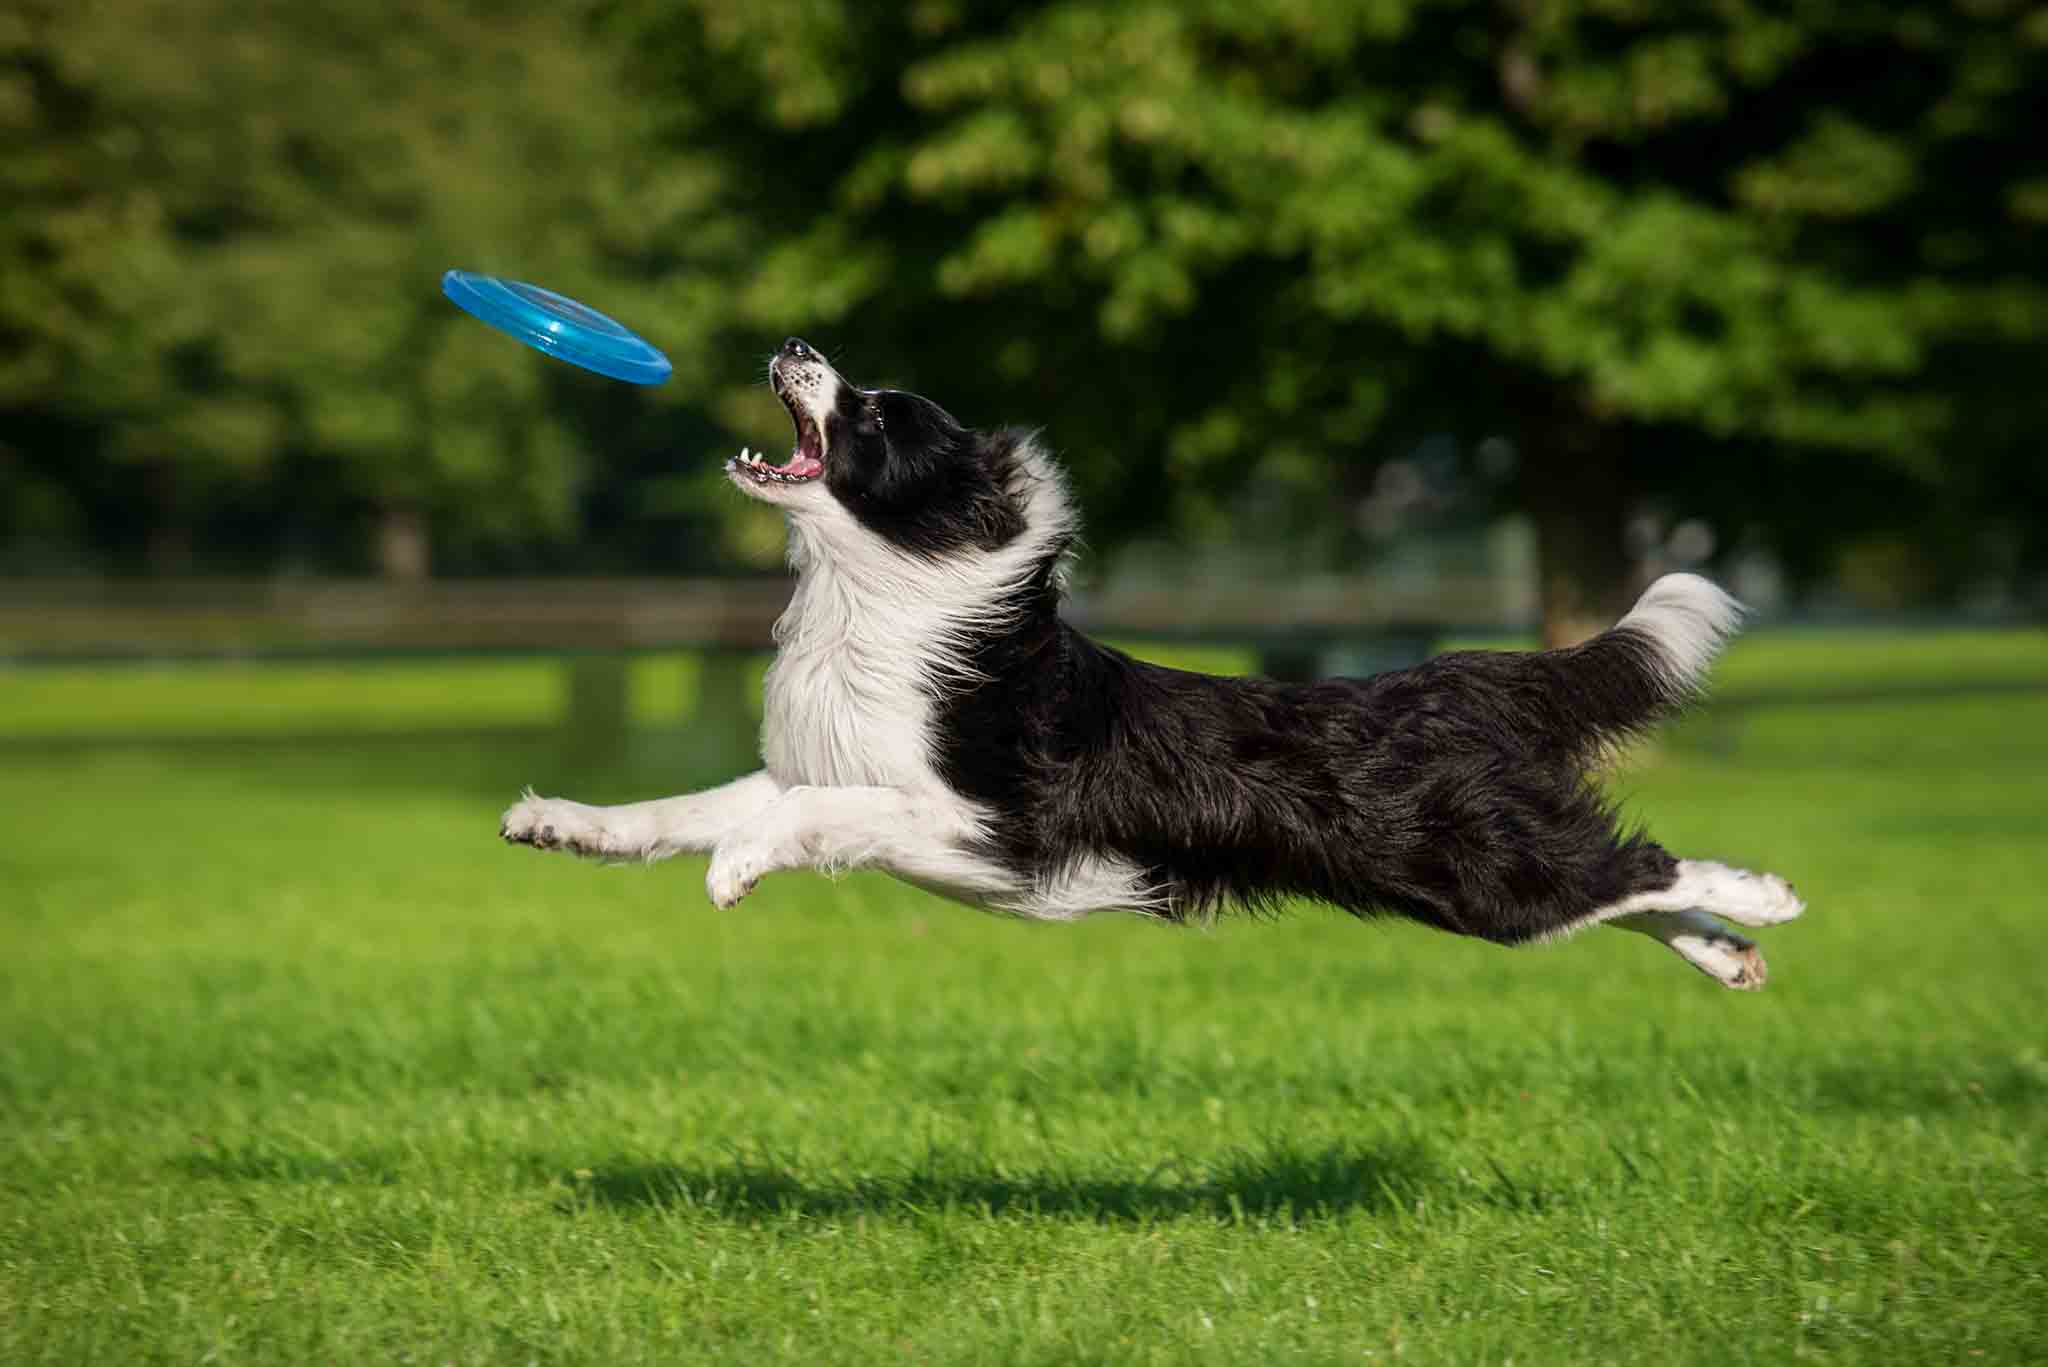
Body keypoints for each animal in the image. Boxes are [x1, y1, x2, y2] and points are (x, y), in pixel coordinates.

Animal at [503, 336, 1802, 987]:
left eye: (872, 413)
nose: (792, 341)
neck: (879, 594)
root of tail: (1429, 681)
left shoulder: (986, 819)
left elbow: (811, 817)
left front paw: (736, 871)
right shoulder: (813, 762)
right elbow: (683, 807)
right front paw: (556, 822)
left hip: (1462, 860)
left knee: (1636, 863)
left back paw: (1765, 896)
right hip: (1464, 878)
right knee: (1613, 889)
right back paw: (1729, 953)